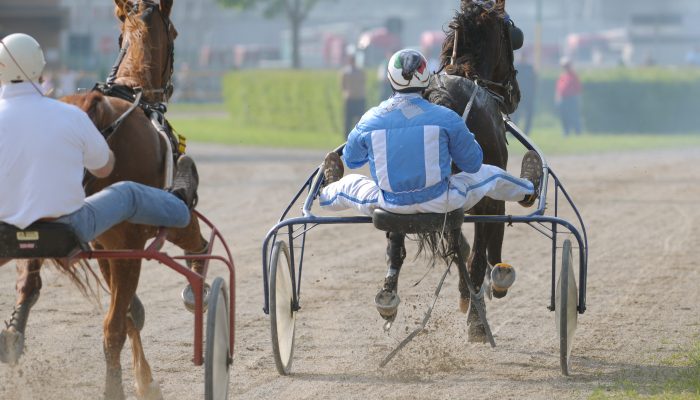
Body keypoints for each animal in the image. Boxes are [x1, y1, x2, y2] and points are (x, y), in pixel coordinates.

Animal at [0, 1, 206, 398]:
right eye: (174, 33)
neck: (129, 92)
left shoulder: (103, 243)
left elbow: (129, 314)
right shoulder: (126, 240)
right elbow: (129, 315)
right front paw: (146, 381)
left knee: (31, 284)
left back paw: (14, 335)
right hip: (142, 225)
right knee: (115, 325)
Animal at [422, 0, 520, 342]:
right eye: (513, 36)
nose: (515, 95)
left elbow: (459, 247)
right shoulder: (490, 194)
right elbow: (484, 251)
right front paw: (492, 284)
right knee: (476, 256)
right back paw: (478, 321)